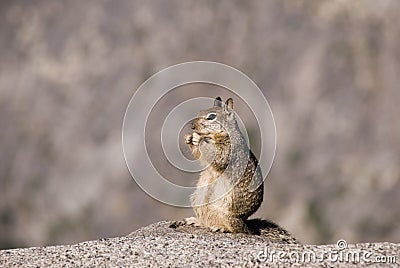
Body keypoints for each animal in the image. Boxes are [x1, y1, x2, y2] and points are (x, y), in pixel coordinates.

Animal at [171, 97, 262, 233]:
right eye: (200, 111)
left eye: (212, 117)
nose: (192, 126)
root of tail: (245, 223)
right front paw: (189, 138)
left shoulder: (228, 149)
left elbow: (217, 156)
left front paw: (198, 139)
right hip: (198, 200)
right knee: (206, 219)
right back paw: (196, 221)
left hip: (225, 213)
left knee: (236, 228)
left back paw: (221, 227)